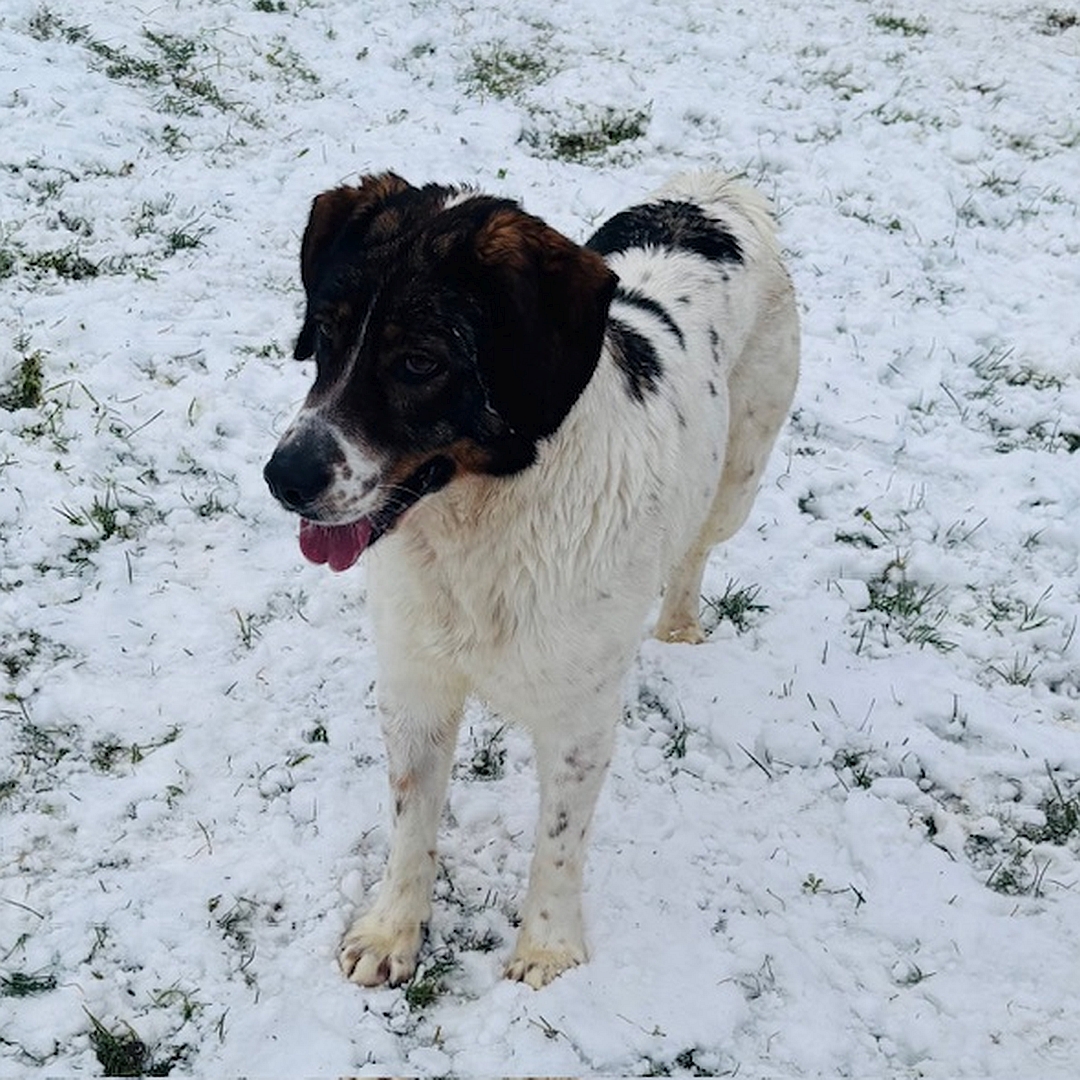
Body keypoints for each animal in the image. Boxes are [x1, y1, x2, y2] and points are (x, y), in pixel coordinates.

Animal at [265, 168, 799, 989]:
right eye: (325, 331)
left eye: (421, 362)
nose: (283, 478)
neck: (485, 519)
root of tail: (714, 194)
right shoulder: (415, 683)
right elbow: (411, 820)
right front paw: (393, 930)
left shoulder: (581, 714)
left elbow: (559, 839)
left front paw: (547, 948)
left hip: (740, 469)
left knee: (695, 547)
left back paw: (678, 624)